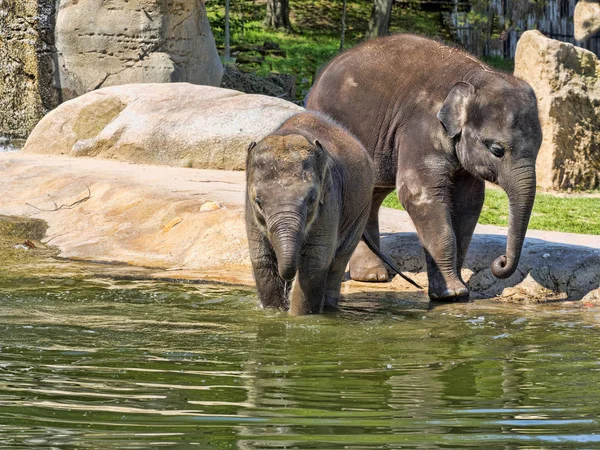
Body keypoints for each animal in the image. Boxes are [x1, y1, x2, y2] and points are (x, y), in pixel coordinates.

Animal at [246, 111, 372, 316]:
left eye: (312, 199)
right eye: (259, 203)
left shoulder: (329, 201)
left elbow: (314, 262)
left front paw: (297, 317)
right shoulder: (249, 210)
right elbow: (262, 261)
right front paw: (274, 313)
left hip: (361, 212)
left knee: (339, 260)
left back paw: (328, 307)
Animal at [308, 35, 540, 300]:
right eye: (497, 149)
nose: (500, 262)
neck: (476, 76)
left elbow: (469, 202)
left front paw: (460, 290)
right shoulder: (420, 127)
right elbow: (419, 193)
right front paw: (452, 294)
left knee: (371, 194)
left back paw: (372, 277)